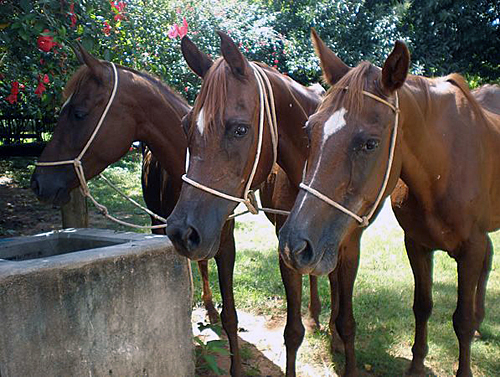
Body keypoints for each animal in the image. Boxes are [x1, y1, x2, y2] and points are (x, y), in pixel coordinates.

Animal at [280, 30, 498, 376]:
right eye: (309, 130)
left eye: (370, 144)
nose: (293, 245)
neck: (444, 168)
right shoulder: (417, 245)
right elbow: (422, 306)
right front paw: (417, 365)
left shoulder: (470, 248)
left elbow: (460, 321)